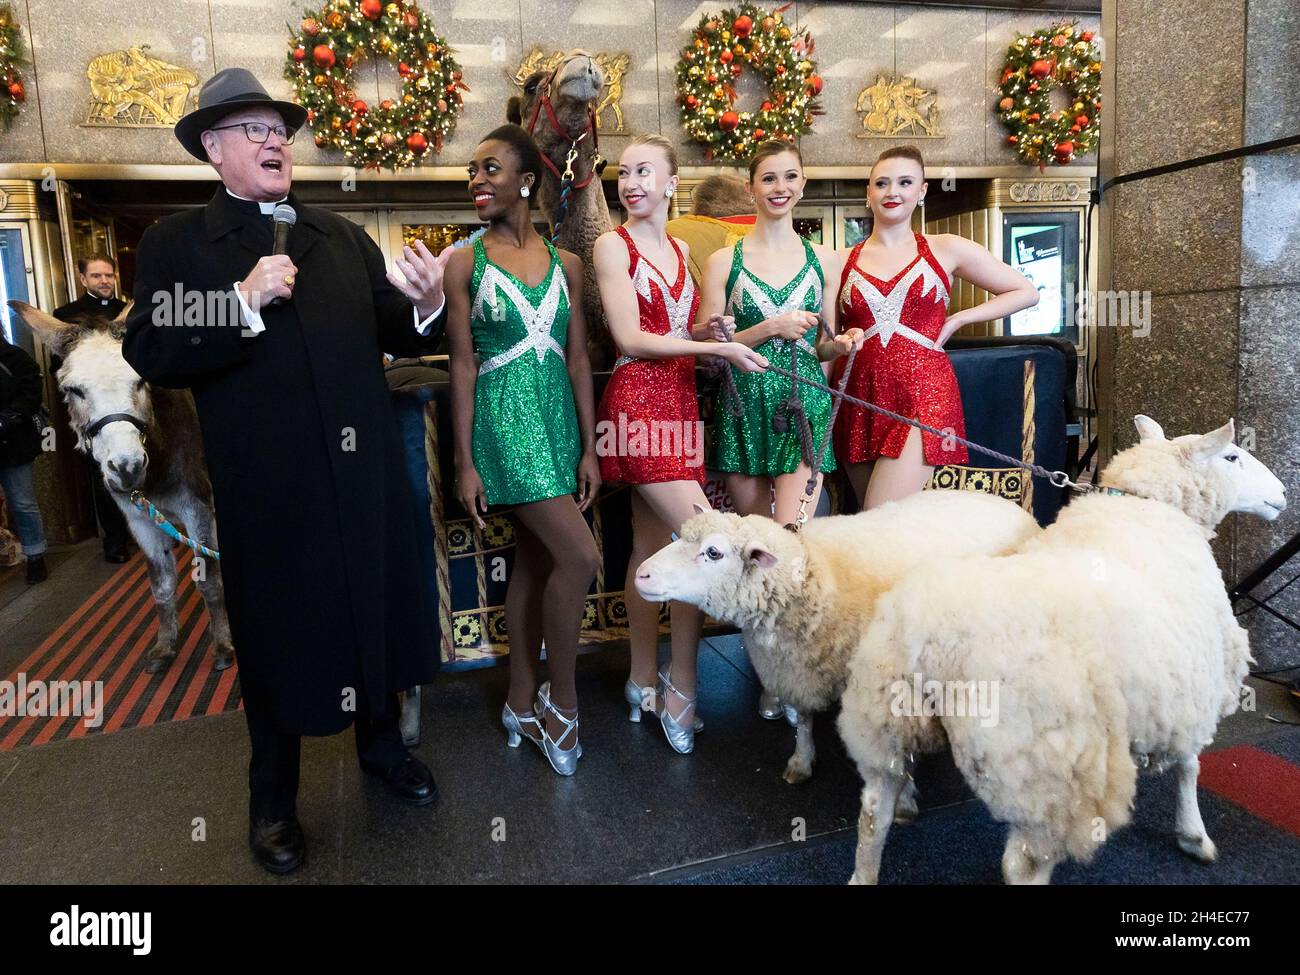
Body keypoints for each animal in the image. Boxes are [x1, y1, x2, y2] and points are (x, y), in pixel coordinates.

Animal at [634, 488, 1040, 785]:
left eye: (714, 552)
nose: (641, 574)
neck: (813, 571)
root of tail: (1013, 506)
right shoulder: (798, 668)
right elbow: (804, 721)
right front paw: (801, 762)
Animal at [837, 416, 1284, 889]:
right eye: (1232, 457)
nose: (1282, 494)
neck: (1148, 508)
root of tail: (926, 637)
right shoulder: (1190, 688)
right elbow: (1189, 766)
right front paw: (1194, 836)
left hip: (883, 723)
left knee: (874, 815)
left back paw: (865, 869)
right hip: (1044, 769)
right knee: (1022, 865)